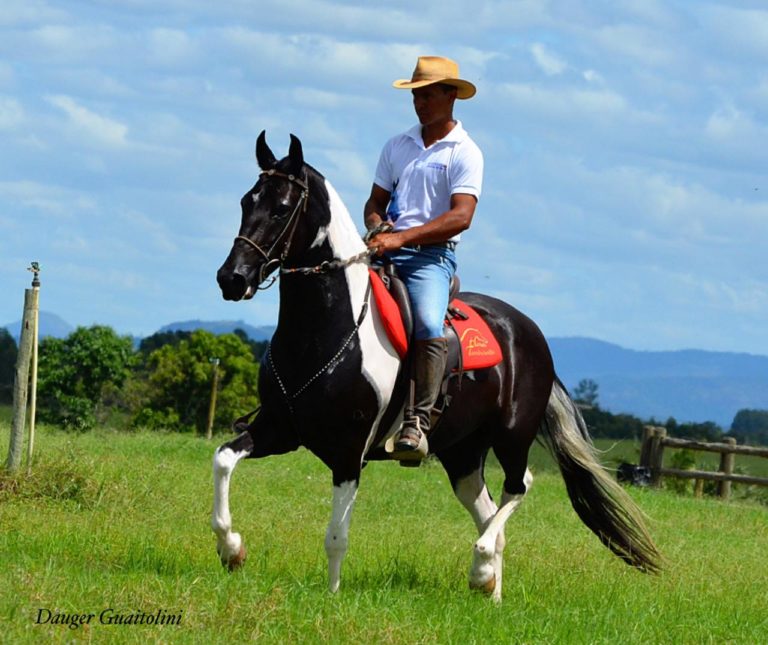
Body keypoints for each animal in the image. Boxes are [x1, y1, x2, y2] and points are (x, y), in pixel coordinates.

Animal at [212, 133, 660, 600]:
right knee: (489, 514)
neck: (325, 333)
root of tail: (530, 335)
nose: (232, 278)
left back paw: (481, 571)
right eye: (246, 201)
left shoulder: (350, 452)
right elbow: (223, 459)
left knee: (518, 488)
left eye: (282, 207)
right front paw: (232, 550)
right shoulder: (279, 430)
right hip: (462, 454)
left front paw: (332, 595)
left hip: (512, 436)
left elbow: (337, 536)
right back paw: (491, 594)